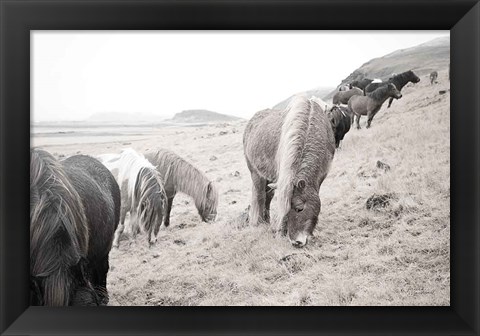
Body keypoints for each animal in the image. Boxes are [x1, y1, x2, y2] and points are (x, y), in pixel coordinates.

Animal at [244, 94, 334, 247]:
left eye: (299, 208)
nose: (296, 241)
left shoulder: (321, 177)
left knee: (268, 197)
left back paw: (267, 221)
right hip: (256, 174)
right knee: (260, 197)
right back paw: (260, 223)